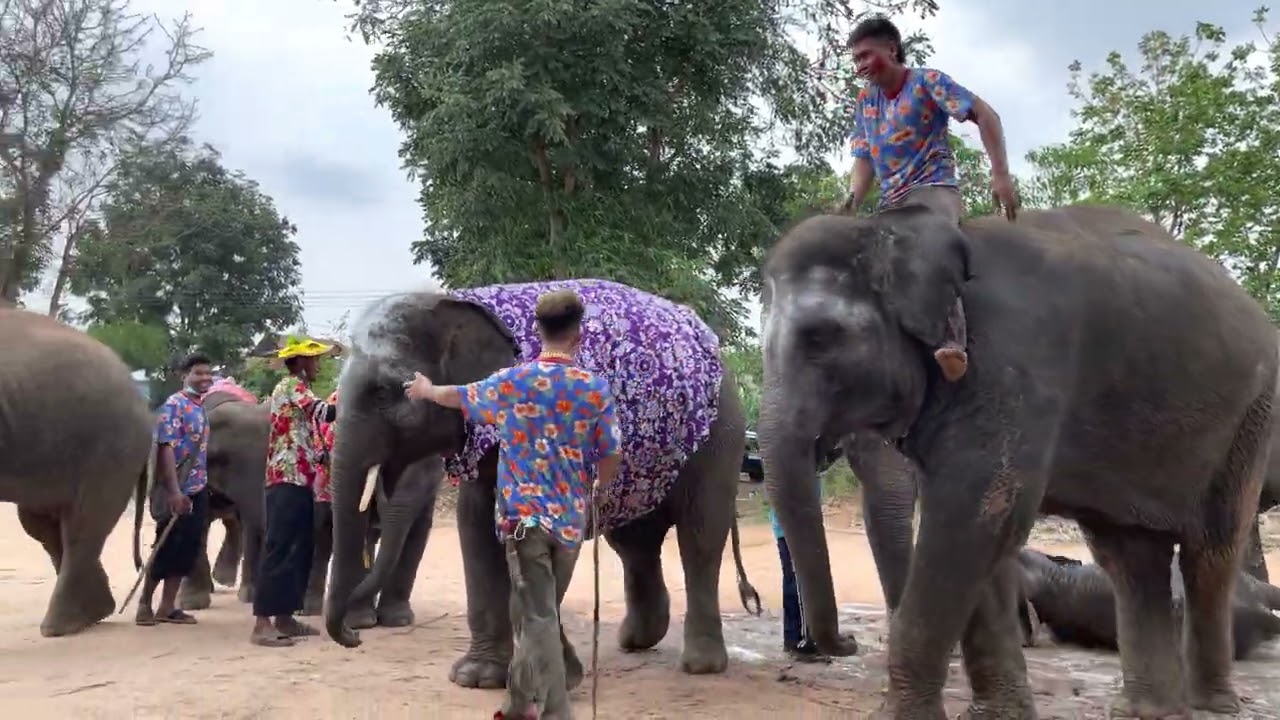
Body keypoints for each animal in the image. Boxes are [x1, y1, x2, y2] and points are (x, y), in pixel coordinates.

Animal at [322, 278, 757, 686]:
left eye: (383, 392)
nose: (354, 637)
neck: (458, 301)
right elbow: (475, 525)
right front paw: (477, 678)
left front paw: (554, 675)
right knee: (634, 542)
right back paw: (636, 641)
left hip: (720, 436)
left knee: (700, 534)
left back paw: (701, 665)